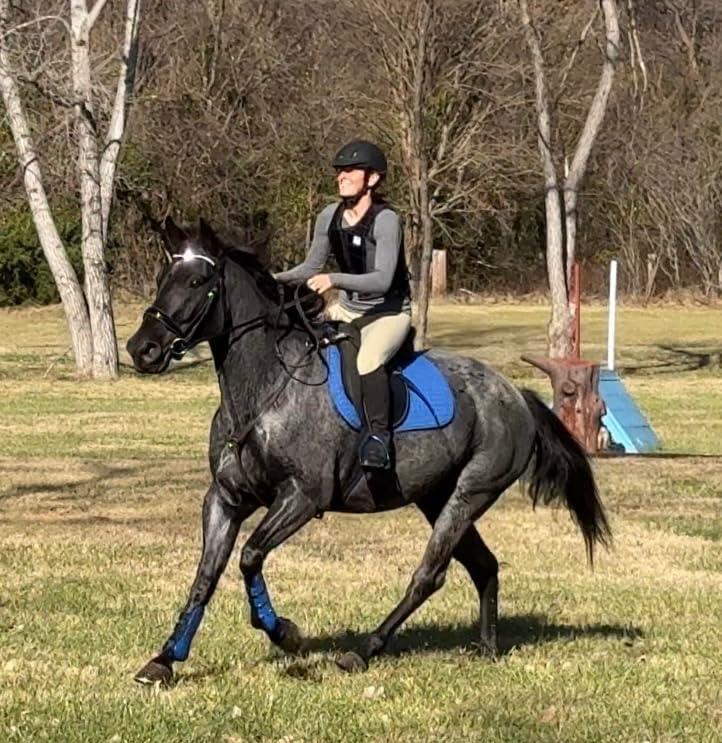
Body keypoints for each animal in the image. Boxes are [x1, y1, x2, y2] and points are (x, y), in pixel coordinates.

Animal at [126, 216, 611, 685]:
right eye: (163, 278)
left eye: (197, 281)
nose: (141, 349)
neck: (263, 390)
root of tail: (516, 395)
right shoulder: (226, 498)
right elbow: (206, 577)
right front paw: (165, 660)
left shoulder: (302, 498)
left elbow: (250, 557)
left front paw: (286, 634)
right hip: (436, 496)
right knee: (483, 565)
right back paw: (487, 648)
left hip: (470, 493)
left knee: (429, 575)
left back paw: (364, 651)